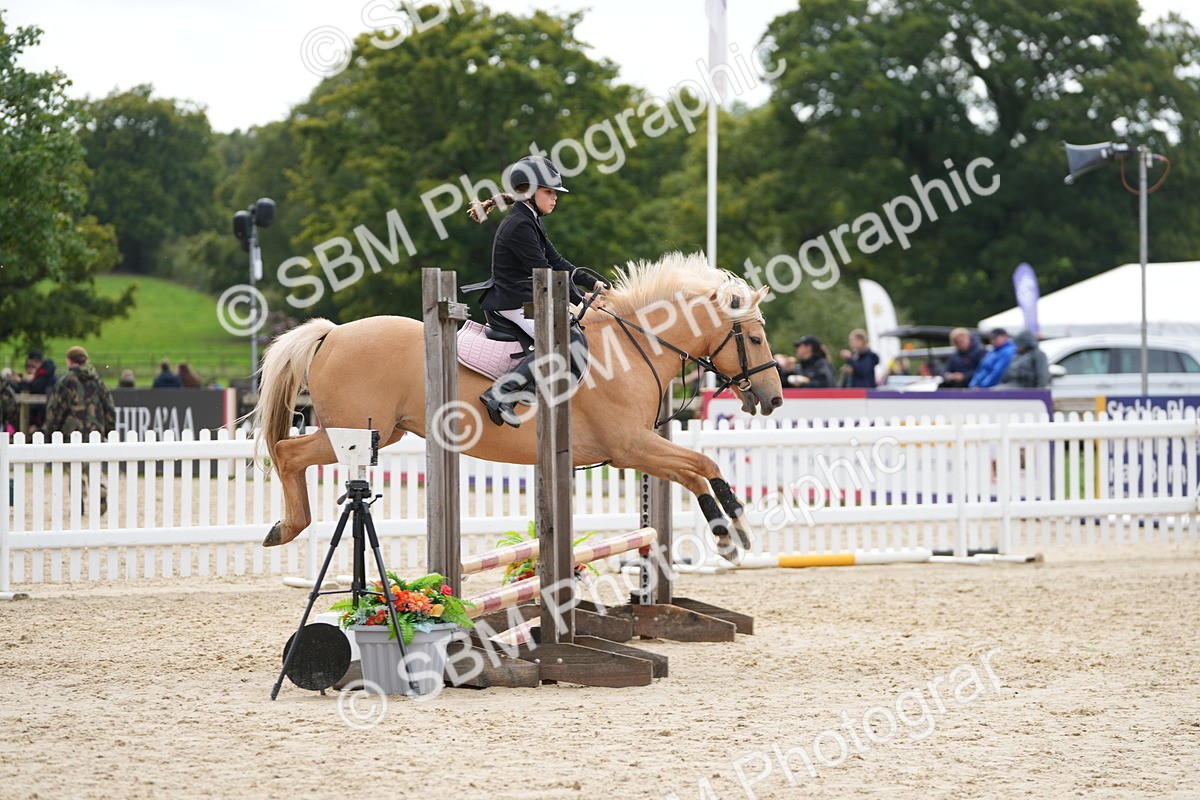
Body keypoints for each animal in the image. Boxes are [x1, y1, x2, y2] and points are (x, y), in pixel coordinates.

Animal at [247, 252, 784, 561]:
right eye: (757, 338)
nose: (774, 398)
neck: (633, 346)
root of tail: (332, 333)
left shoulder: (636, 451)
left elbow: (696, 472)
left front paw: (729, 532)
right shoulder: (631, 446)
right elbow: (703, 464)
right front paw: (734, 528)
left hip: (382, 432)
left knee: (290, 452)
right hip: (357, 432)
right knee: (287, 452)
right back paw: (286, 527)